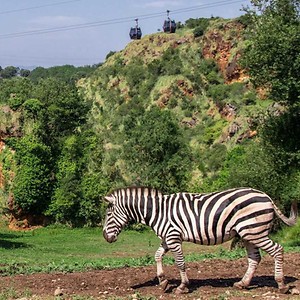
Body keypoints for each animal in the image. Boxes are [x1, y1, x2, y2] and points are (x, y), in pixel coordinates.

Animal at [102, 186, 298, 294]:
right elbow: (157, 256)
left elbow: (180, 262)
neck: (158, 211)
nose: (105, 236)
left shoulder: (173, 237)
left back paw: (281, 285)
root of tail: (266, 196)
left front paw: (182, 287)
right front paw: (163, 282)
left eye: (108, 214)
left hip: (255, 231)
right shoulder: (168, 237)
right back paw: (242, 284)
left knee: (277, 250)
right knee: (255, 258)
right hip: (248, 233)